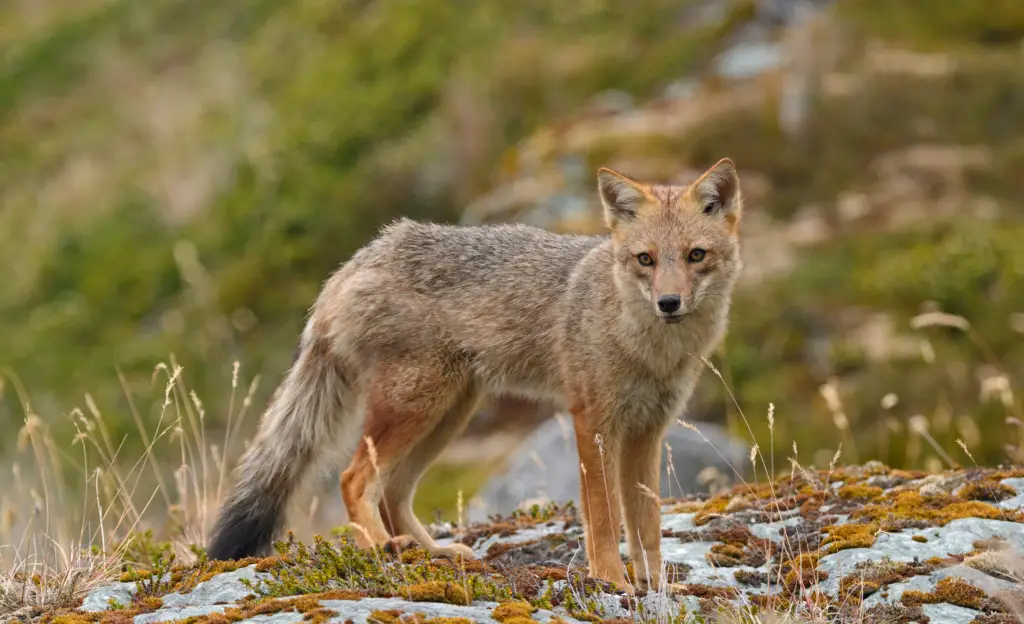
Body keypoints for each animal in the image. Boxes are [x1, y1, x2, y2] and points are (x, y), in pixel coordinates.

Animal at [206, 158, 745, 592]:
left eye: (695, 255)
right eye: (645, 259)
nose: (668, 303)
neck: (650, 348)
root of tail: (359, 259)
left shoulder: (647, 432)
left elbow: (647, 524)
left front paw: (658, 587)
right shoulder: (593, 424)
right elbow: (605, 519)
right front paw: (613, 581)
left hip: (447, 415)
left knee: (393, 493)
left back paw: (431, 552)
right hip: (415, 409)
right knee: (353, 480)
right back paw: (382, 549)